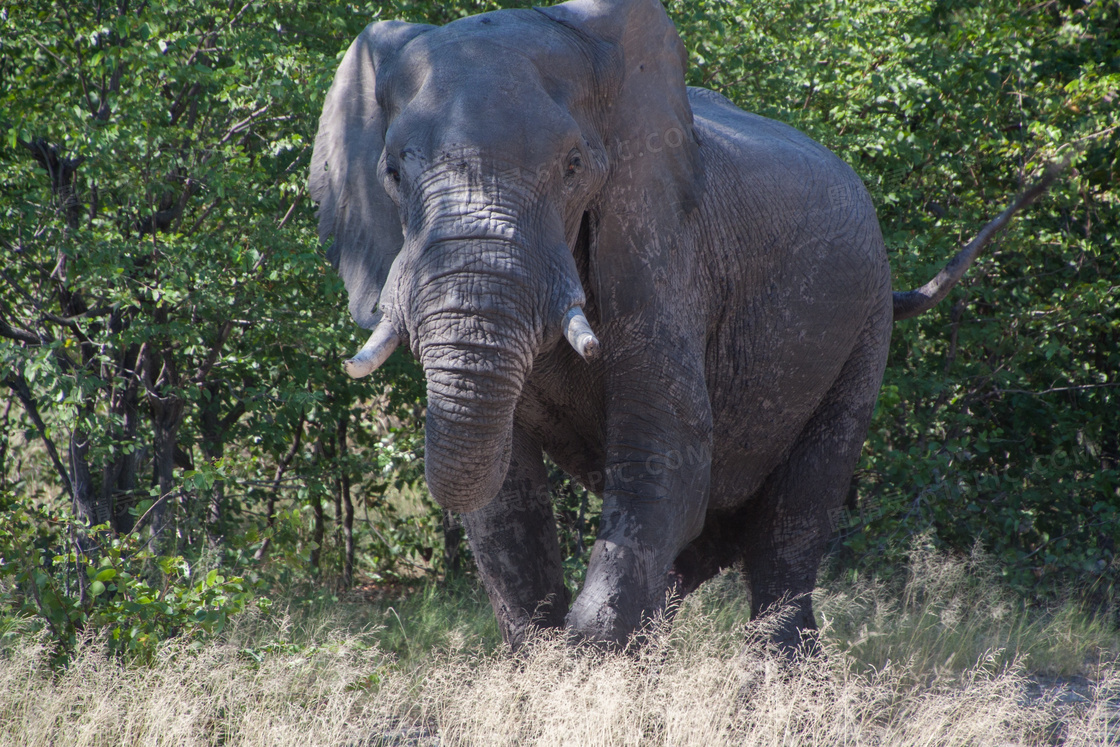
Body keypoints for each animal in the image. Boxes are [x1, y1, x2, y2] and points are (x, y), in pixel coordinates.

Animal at [309, 0, 1057, 649]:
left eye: (574, 168)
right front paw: (547, 664)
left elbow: (666, 454)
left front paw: (589, 671)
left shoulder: (663, 246)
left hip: (865, 324)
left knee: (793, 523)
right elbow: (505, 499)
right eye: (392, 172)